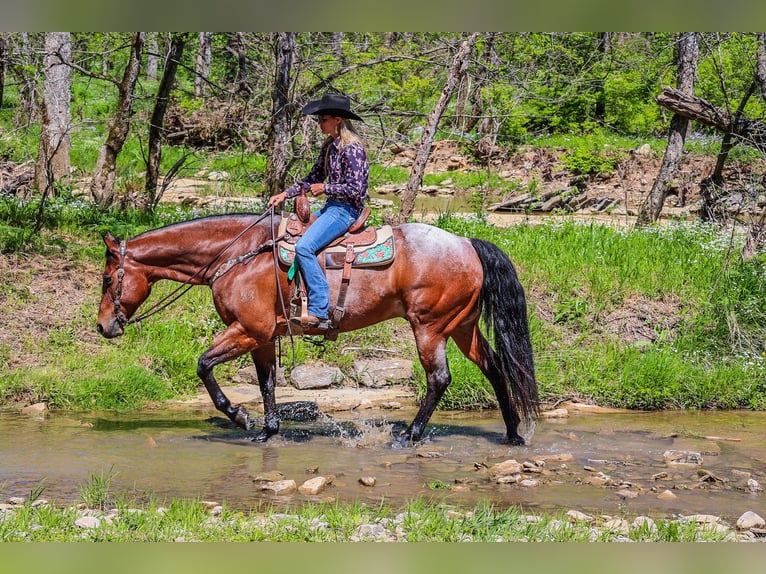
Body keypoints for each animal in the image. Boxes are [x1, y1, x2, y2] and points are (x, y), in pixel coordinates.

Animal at [97, 214, 540, 448]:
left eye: (105, 278)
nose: (103, 326)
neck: (236, 256)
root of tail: (466, 242)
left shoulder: (248, 329)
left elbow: (204, 366)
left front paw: (241, 418)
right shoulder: (263, 337)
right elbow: (266, 383)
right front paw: (268, 430)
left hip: (429, 328)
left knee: (439, 378)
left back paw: (410, 435)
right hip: (461, 326)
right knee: (495, 367)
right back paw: (512, 433)